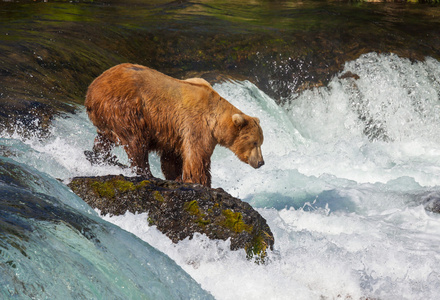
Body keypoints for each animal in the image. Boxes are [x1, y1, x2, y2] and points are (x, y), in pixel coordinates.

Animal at [86, 63, 264, 186]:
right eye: (255, 142)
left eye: (261, 142)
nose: (261, 162)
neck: (216, 122)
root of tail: (92, 90)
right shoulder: (197, 125)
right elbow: (197, 158)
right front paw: (201, 182)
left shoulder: (175, 133)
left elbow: (172, 158)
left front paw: (176, 177)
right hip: (125, 107)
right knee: (135, 141)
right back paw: (145, 172)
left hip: (107, 117)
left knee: (105, 138)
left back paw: (98, 155)